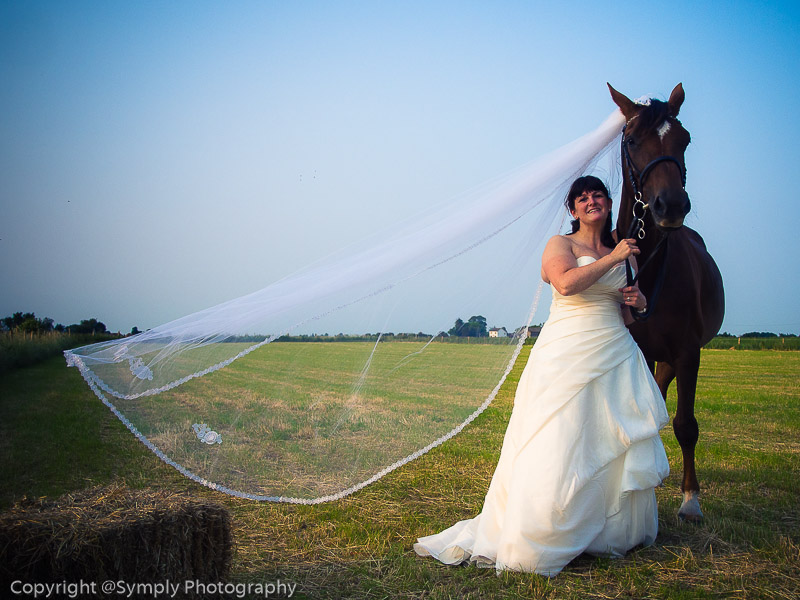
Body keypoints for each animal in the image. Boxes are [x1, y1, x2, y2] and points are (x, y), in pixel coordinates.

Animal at [608, 83, 728, 520]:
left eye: (685, 139)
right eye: (630, 140)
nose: (671, 205)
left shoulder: (688, 351)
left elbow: (686, 424)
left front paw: (690, 497)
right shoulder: (637, 349)